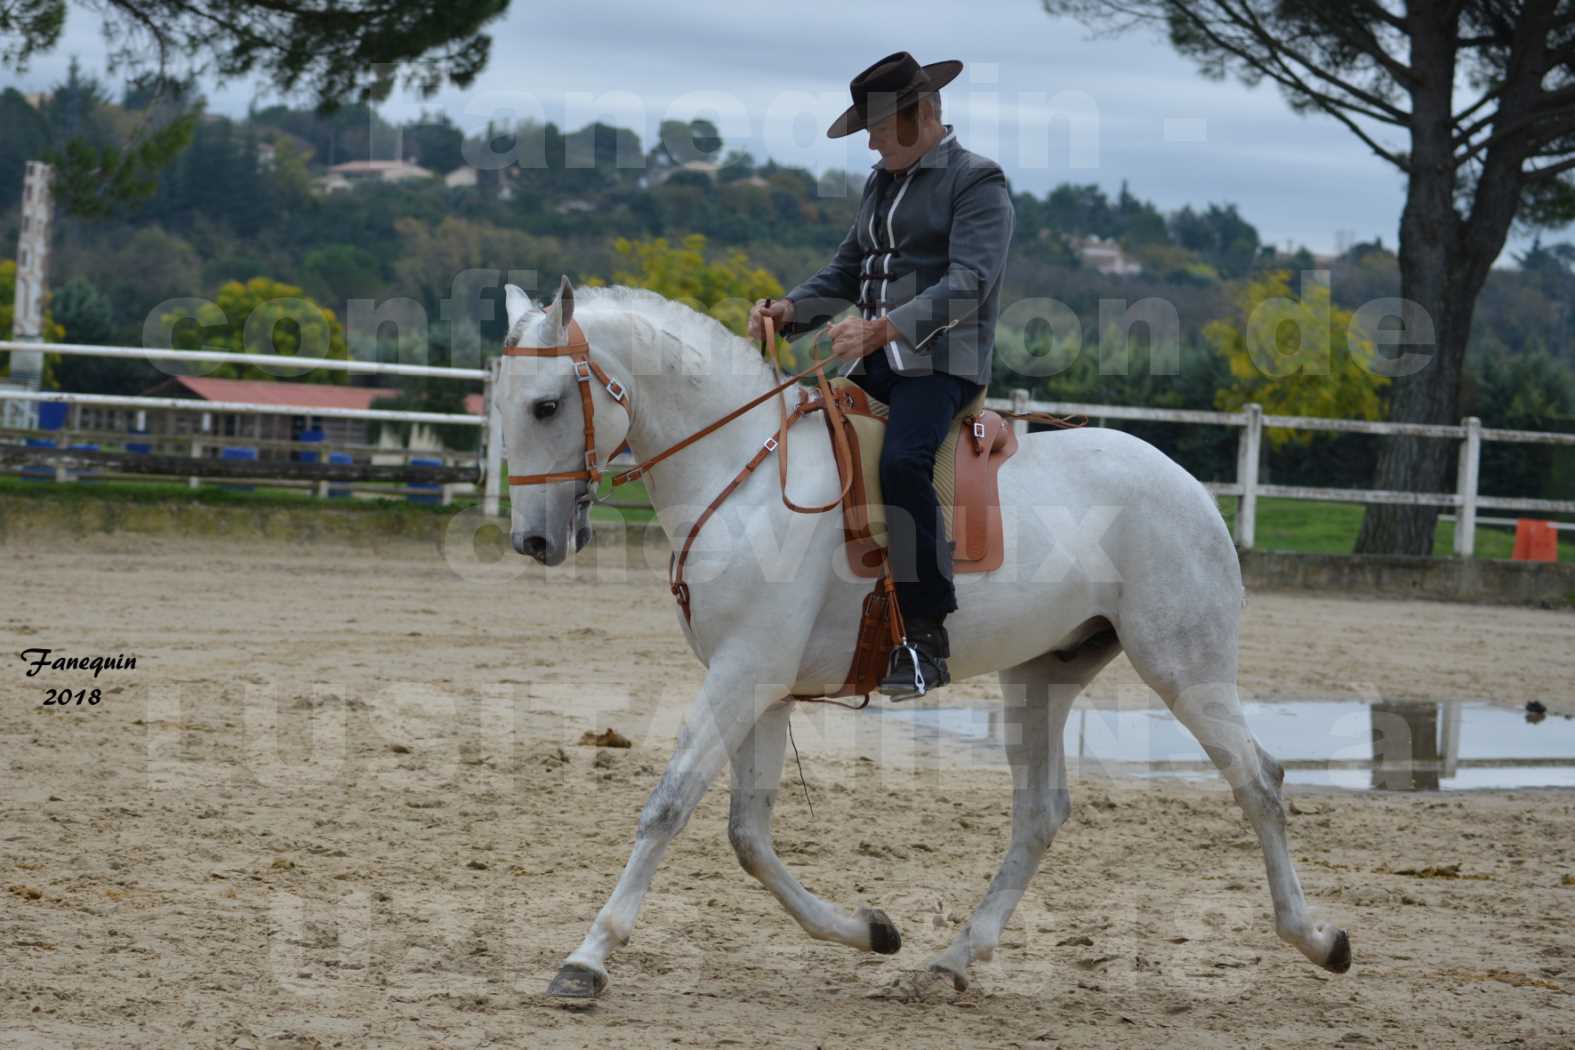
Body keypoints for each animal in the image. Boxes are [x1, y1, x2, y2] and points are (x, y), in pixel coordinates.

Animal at [504, 278, 1354, 1001]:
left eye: (546, 406)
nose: (533, 542)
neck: (743, 473)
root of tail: (1189, 488)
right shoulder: (761, 683)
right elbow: (748, 835)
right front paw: (868, 930)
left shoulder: (742, 673)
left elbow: (668, 806)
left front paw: (586, 960)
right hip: (1041, 676)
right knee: (1041, 811)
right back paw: (951, 961)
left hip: (1184, 668)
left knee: (1258, 780)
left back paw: (1317, 940)